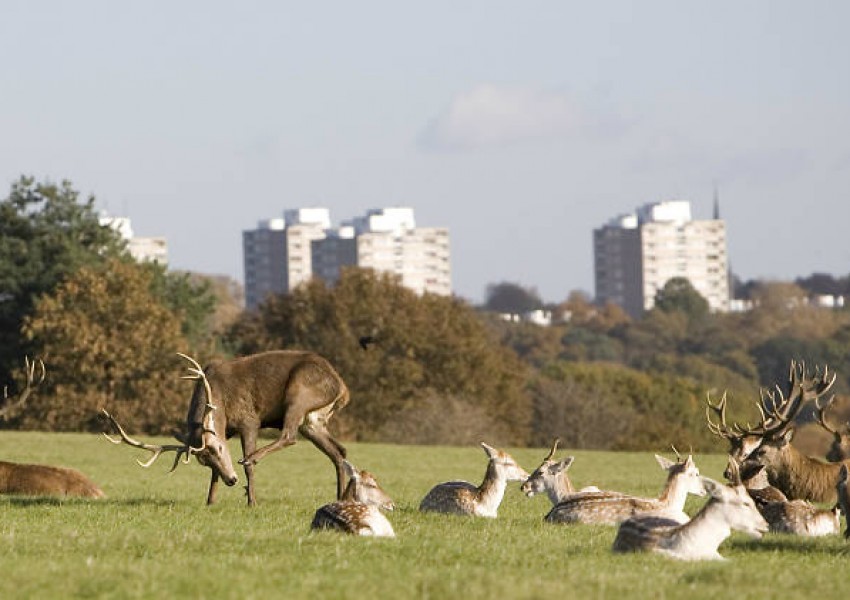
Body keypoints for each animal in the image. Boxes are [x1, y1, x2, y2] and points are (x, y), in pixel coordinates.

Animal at [103, 352, 352, 506]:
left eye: (219, 449)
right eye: (204, 460)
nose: (231, 480)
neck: (220, 401)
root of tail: (342, 387)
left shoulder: (249, 419)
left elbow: (249, 465)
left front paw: (252, 501)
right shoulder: (227, 431)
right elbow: (214, 475)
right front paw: (210, 501)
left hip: (300, 393)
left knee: (289, 435)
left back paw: (252, 458)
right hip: (313, 420)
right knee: (338, 451)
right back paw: (340, 497)